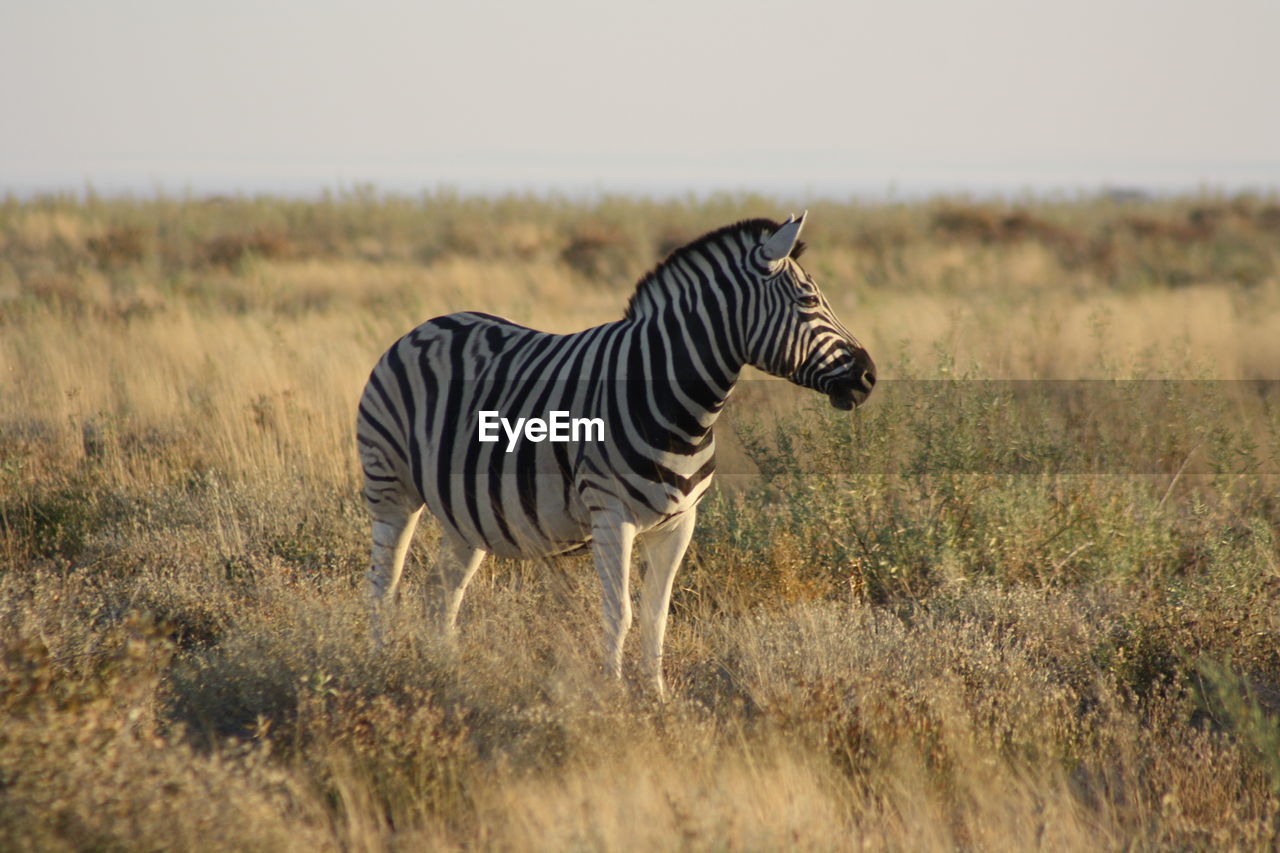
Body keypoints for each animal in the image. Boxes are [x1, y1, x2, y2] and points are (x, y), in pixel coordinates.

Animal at [360, 208, 880, 696]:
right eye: (809, 300)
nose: (870, 376)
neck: (680, 407)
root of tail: (423, 326)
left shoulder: (680, 523)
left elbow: (656, 617)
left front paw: (657, 698)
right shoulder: (611, 516)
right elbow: (620, 614)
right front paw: (613, 698)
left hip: (467, 512)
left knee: (441, 592)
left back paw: (443, 673)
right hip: (391, 488)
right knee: (384, 585)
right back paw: (383, 668)